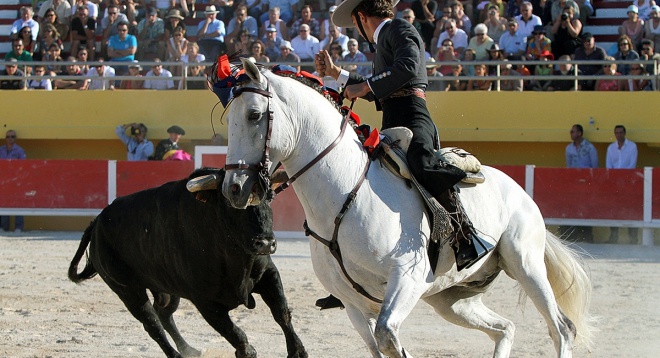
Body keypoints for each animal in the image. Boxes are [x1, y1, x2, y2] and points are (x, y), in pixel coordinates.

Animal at [68, 168, 306, 358]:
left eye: (270, 198)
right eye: (231, 203)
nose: (265, 242)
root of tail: (97, 222)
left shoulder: (268, 274)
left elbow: (282, 313)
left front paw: (298, 352)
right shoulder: (205, 302)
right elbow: (236, 334)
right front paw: (247, 351)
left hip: (166, 288)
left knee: (164, 314)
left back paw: (190, 349)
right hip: (128, 291)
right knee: (152, 324)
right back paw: (176, 355)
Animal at [219, 59, 592, 358]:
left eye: (254, 115)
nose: (233, 189)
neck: (344, 194)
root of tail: (518, 190)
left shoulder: (407, 278)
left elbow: (388, 338)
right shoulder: (354, 305)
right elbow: (379, 347)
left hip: (525, 264)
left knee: (561, 328)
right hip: (453, 298)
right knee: (506, 328)